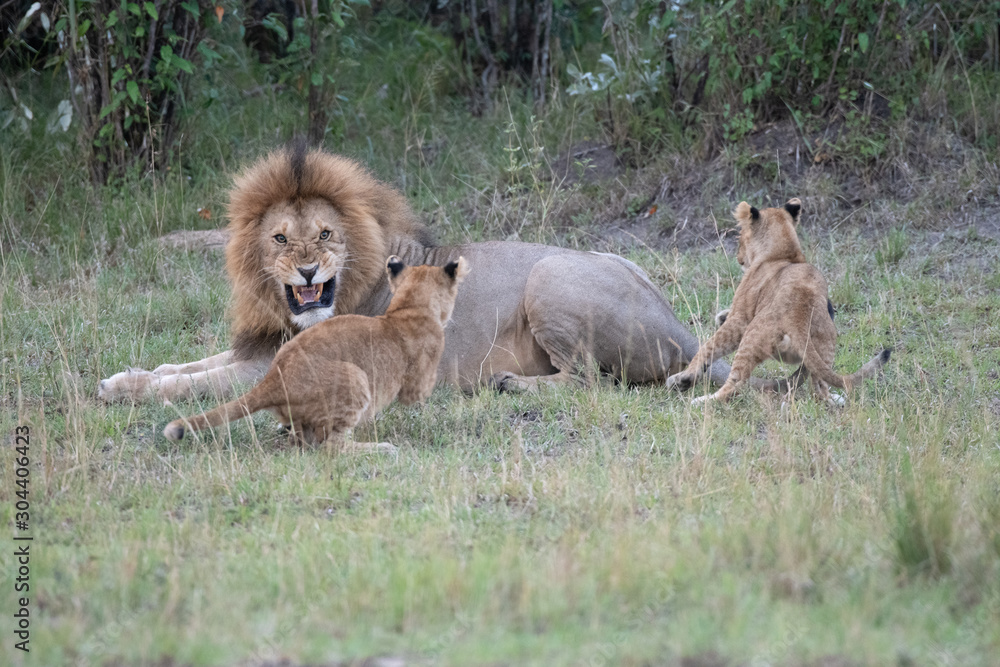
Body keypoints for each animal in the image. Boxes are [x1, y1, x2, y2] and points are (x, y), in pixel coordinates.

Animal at [99, 144, 788, 404]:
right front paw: (124, 376)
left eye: (325, 234)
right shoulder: (265, 344)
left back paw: (512, 384)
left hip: (551, 278)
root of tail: (682, 329)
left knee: (593, 380)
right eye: (280, 238)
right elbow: (185, 365)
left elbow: (193, 383)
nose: (307, 267)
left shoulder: (283, 363)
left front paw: (125, 391)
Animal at [162, 256, 467, 449]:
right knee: (331, 446)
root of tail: (274, 379)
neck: (408, 308)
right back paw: (382, 448)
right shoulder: (416, 386)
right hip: (355, 378)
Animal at [665, 198, 891, 405]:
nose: (738, 258)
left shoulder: (740, 319)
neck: (784, 252)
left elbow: (707, 348)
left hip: (751, 338)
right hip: (824, 347)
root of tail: (799, 317)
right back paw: (833, 399)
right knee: (820, 388)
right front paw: (721, 315)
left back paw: (702, 400)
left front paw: (684, 377)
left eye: (739, 237)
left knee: (735, 384)